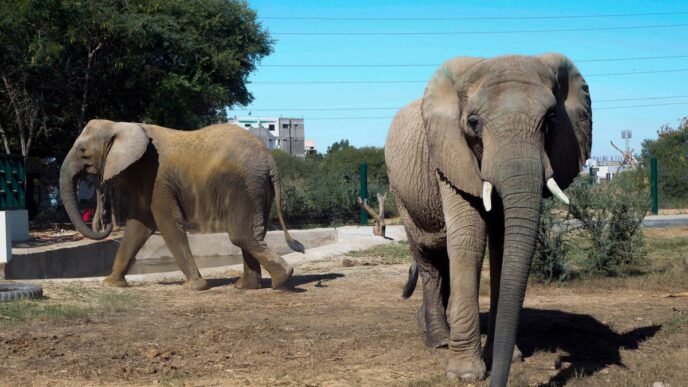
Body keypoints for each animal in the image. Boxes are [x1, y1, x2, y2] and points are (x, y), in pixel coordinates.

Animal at [60, 120, 306, 292]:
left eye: (82, 151)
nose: (104, 223)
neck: (121, 124)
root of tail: (270, 160)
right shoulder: (146, 179)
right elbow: (139, 225)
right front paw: (112, 284)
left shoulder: (157, 178)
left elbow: (166, 221)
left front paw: (194, 287)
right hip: (258, 188)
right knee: (252, 234)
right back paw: (247, 286)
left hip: (246, 186)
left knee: (241, 235)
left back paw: (281, 280)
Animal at [388, 54, 592, 387]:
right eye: (474, 123)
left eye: (550, 120)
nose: (499, 381)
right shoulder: (451, 156)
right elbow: (469, 238)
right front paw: (465, 374)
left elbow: (503, 242)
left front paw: (508, 358)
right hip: (402, 195)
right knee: (428, 258)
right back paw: (439, 340)